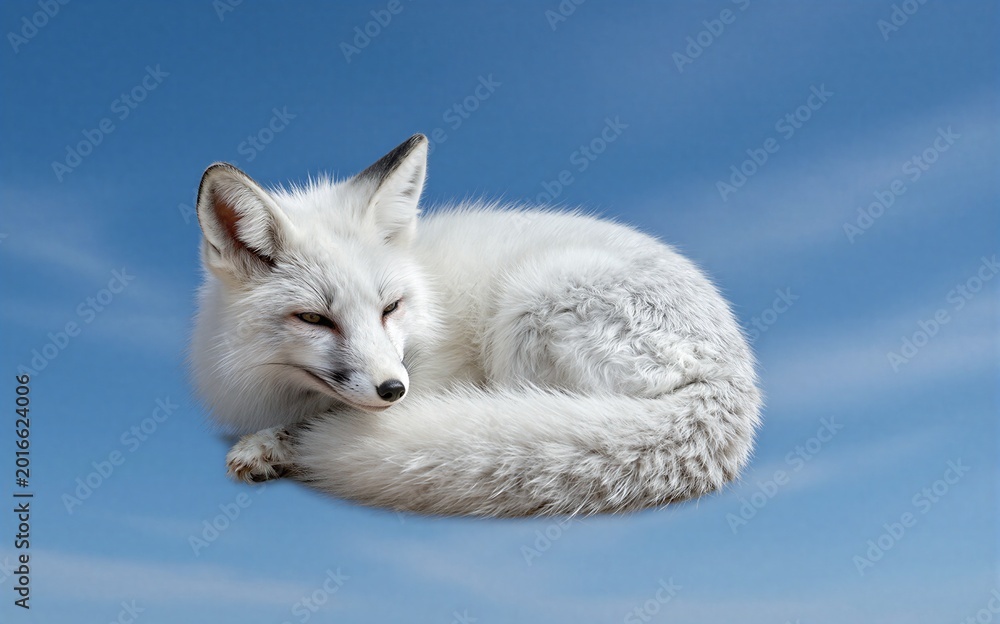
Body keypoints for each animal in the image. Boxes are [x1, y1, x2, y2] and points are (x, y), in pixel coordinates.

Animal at [190, 134, 762, 517]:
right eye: (314, 318)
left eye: (389, 307)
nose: (393, 390)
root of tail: (735, 374)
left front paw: (276, 444)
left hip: (528, 306)